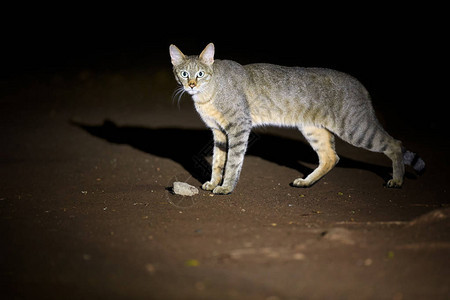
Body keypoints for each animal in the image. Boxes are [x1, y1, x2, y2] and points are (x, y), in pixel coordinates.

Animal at [169, 43, 426, 196]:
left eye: (200, 74)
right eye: (184, 73)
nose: (191, 85)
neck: (206, 95)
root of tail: (361, 87)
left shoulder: (239, 126)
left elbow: (232, 162)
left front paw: (226, 187)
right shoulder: (219, 132)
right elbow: (218, 161)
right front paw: (214, 182)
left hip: (356, 129)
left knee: (395, 144)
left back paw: (398, 180)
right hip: (313, 129)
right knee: (331, 157)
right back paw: (307, 182)